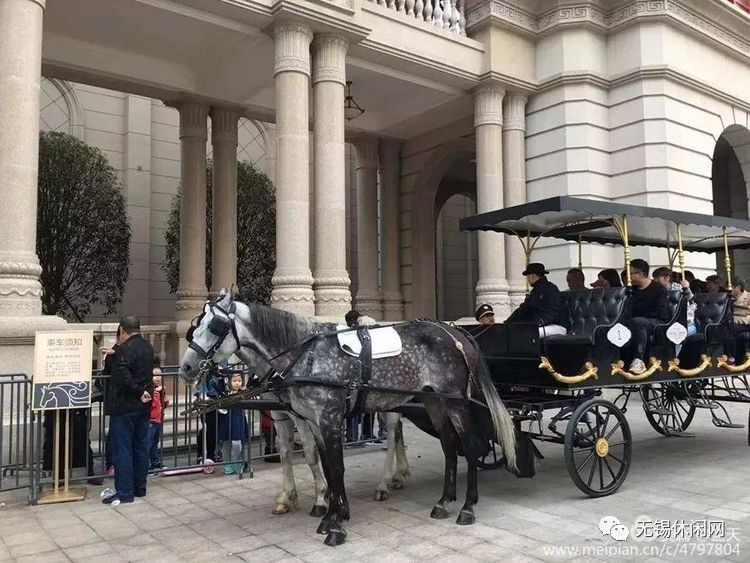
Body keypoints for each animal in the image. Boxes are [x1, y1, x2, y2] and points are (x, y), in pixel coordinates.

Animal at [182, 294, 516, 548]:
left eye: (215, 327)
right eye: (195, 326)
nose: (185, 367)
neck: (304, 355)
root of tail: (454, 331)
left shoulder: (329, 418)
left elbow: (335, 467)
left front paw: (337, 523)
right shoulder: (311, 420)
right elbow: (324, 465)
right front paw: (328, 514)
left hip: (454, 401)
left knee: (466, 446)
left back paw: (466, 506)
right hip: (433, 401)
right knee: (448, 446)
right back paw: (443, 501)